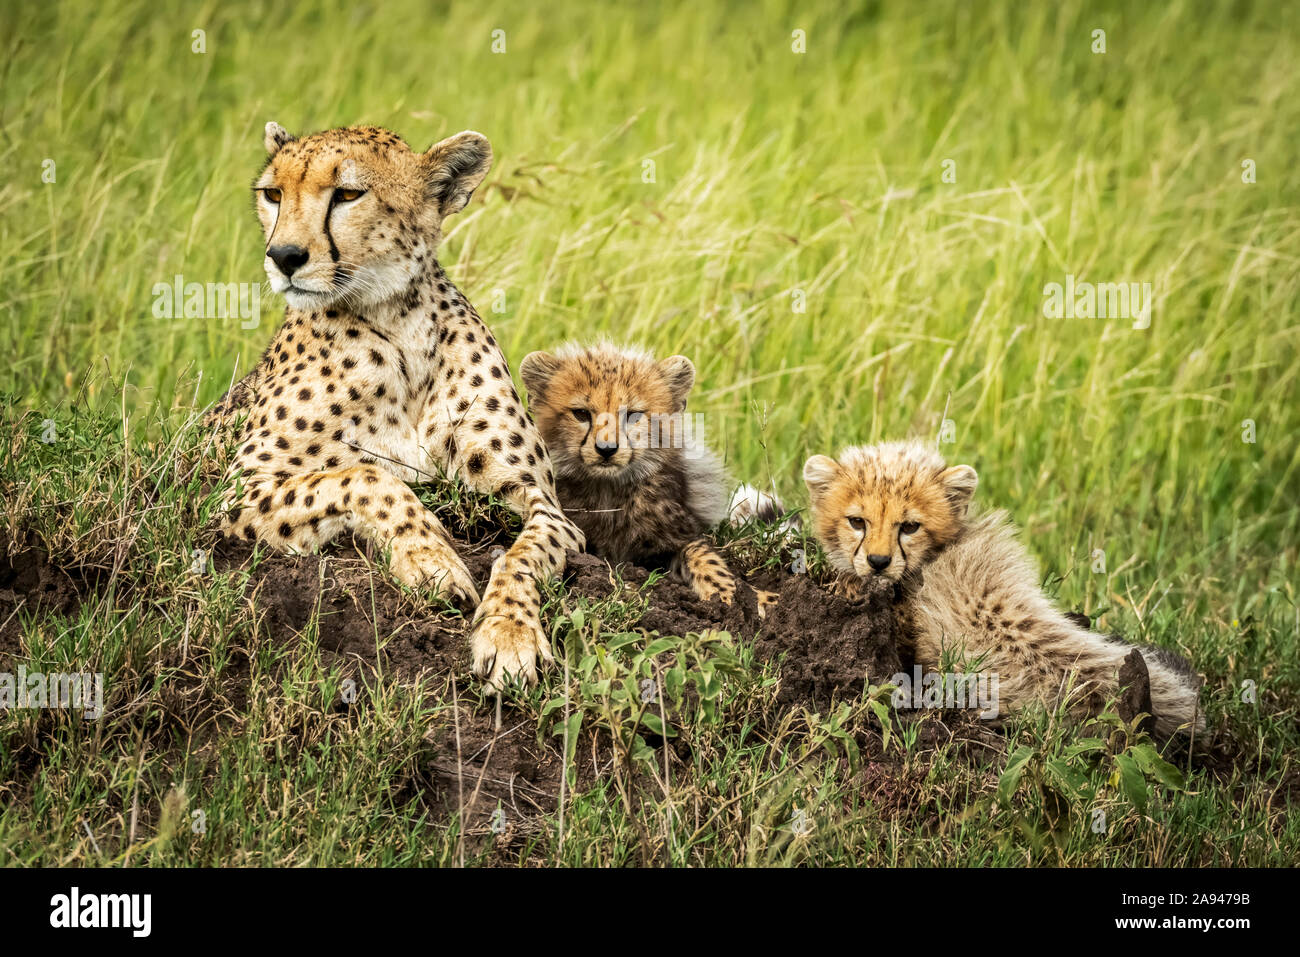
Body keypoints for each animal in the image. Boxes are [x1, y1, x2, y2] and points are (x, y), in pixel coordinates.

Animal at [206, 121, 585, 686]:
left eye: (347, 194)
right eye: (273, 194)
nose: (284, 257)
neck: (396, 321)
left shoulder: (543, 502)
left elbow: (523, 554)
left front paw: (509, 634)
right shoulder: (234, 490)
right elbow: (366, 477)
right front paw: (432, 561)